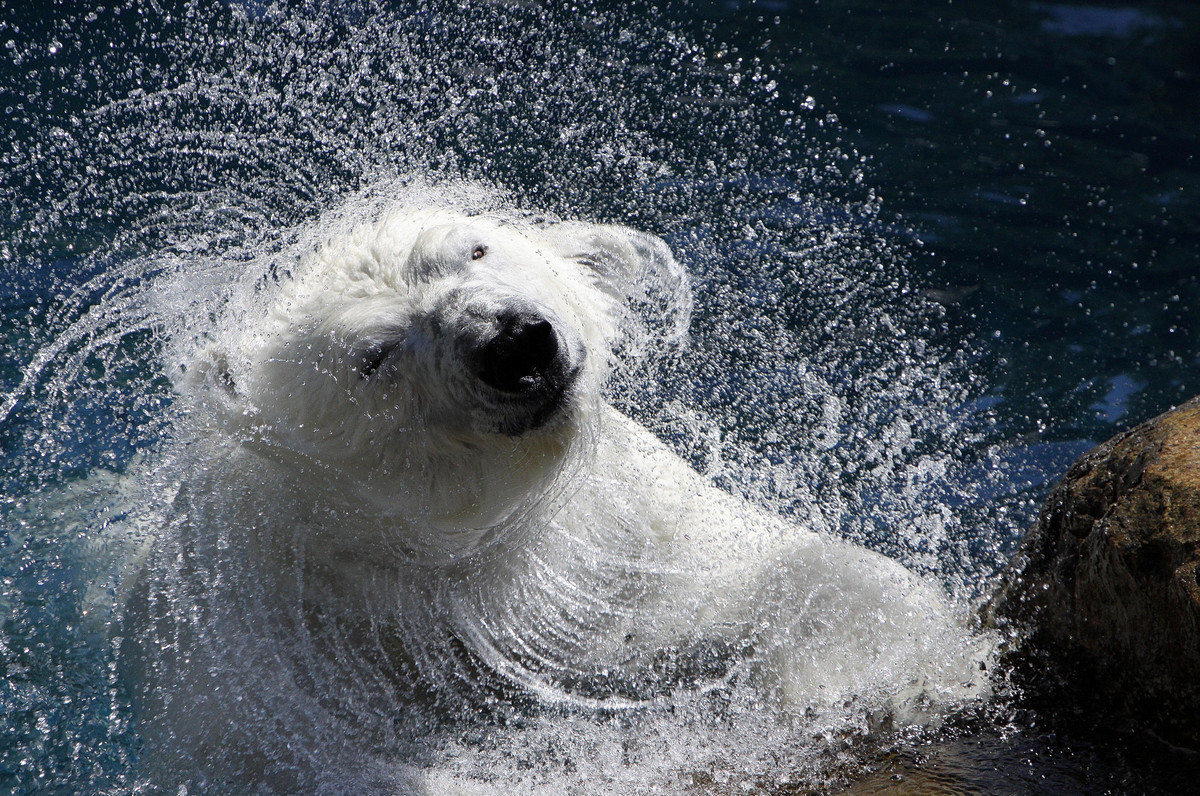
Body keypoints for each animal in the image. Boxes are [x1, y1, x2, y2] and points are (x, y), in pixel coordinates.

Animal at [126, 204, 993, 792]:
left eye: (474, 247)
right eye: (374, 357)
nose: (514, 341)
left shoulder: (623, 545)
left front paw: (893, 670)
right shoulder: (299, 677)